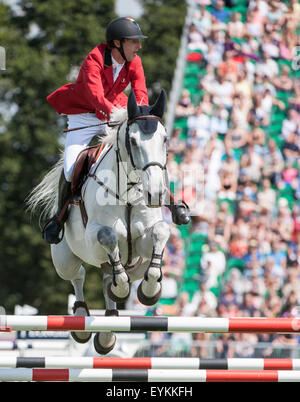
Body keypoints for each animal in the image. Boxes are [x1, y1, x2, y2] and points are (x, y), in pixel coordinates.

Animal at [28, 89, 171, 354]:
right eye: (133, 141)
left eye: (165, 139)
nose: (155, 193)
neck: (127, 193)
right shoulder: (93, 239)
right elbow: (108, 235)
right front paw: (123, 289)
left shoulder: (143, 242)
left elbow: (161, 231)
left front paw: (150, 290)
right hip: (64, 260)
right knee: (79, 275)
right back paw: (82, 319)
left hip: (136, 266)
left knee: (110, 278)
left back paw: (107, 329)